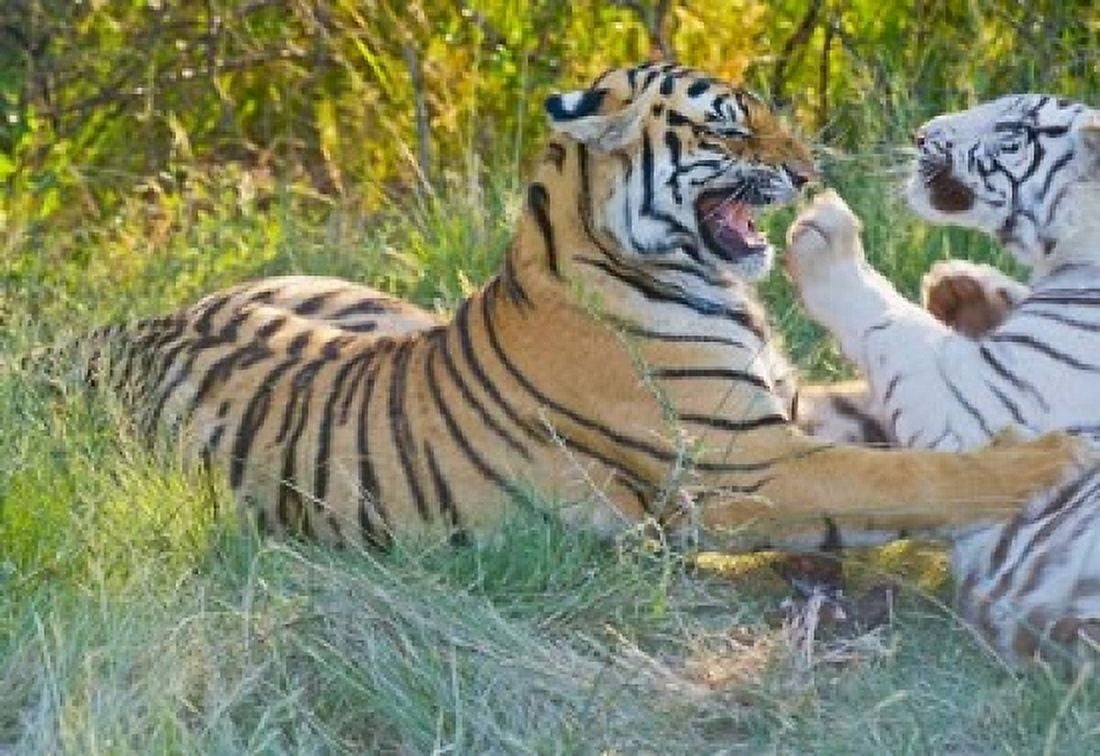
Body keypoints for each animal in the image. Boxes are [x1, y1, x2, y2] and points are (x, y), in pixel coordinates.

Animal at [32, 66, 1084, 555]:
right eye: (727, 128)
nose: (808, 171)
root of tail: (131, 329)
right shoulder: (751, 468)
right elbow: (912, 474)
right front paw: (1050, 460)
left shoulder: (788, 412)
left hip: (350, 298)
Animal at [785, 93, 1100, 664]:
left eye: (1010, 130)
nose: (921, 134)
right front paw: (962, 286)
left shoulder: (980, 410)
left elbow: (889, 320)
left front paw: (824, 231)